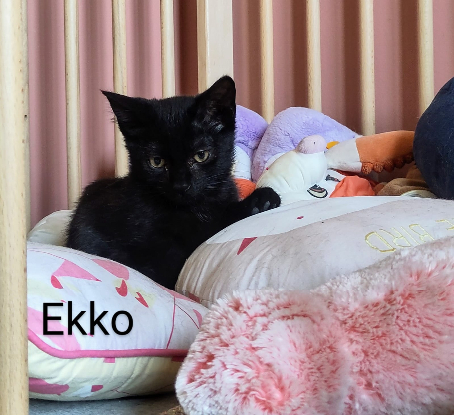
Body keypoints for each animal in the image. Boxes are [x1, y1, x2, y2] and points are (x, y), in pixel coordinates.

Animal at [66, 76, 281, 289]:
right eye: (156, 161)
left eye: (201, 155)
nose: (181, 186)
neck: (192, 209)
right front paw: (257, 202)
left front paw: (261, 200)